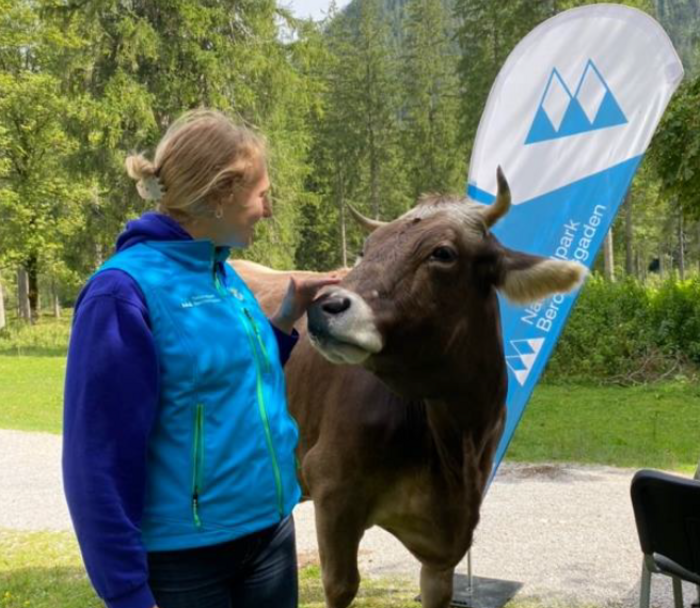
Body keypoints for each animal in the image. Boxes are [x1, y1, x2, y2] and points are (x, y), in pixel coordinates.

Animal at [235, 169, 584, 608]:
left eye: (443, 253)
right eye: (366, 249)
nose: (322, 306)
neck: (453, 445)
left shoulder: (447, 540)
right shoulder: (331, 488)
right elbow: (341, 586)